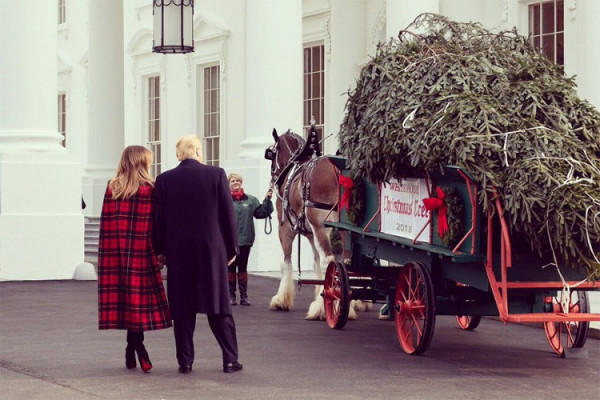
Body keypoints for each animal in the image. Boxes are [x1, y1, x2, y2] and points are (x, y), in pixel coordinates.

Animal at [264, 126, 364, 320]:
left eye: (271, 154)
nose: (274, 178)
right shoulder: (310, 234)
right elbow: (316, 264)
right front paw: (320, 294)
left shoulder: (285, 229)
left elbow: (286, 262)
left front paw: (281, 300)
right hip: (345, 230)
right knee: (345, 262)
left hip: (321, 227)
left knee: (330, 261)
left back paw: (323, 309)